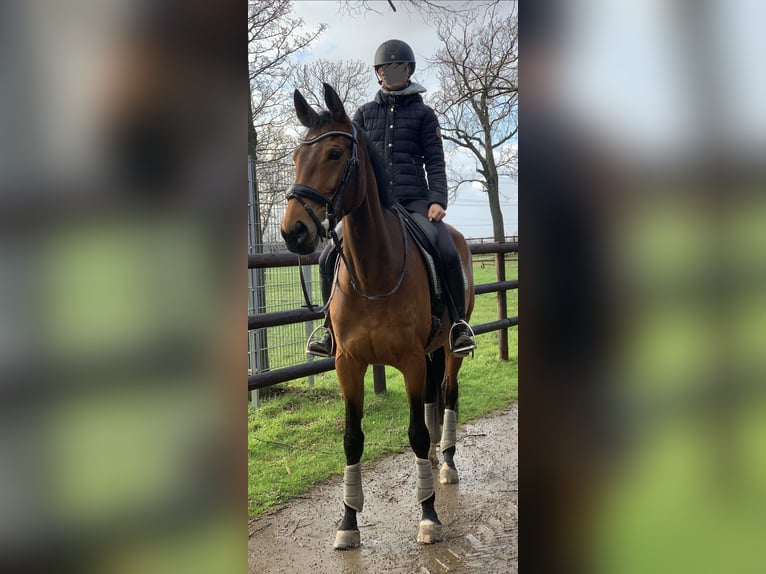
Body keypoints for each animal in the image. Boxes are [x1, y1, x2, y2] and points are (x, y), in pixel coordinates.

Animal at [280, 83, 475, 549]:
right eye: (295, 156)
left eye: (334, 153)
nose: (293, 231)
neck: (373, 273)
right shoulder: (348, 364)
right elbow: (352, 439)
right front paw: (348, 522)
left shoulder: (409, 361)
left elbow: (416, 433)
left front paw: (428, 516)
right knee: (432, 400)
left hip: (448, 350)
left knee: (448, 394)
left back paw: (447, 465)